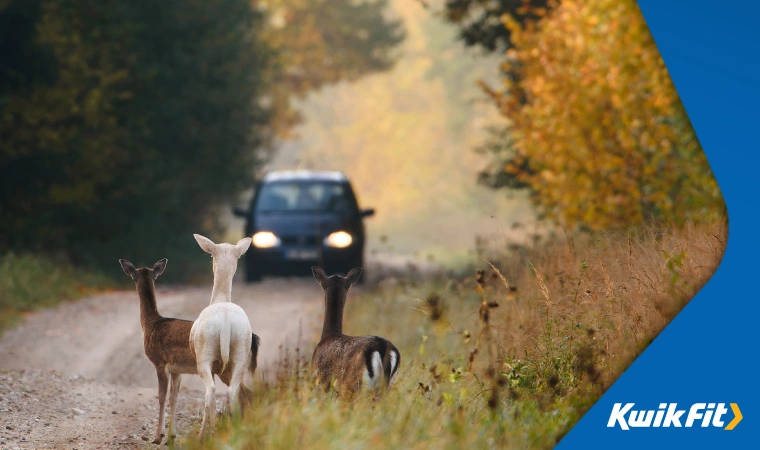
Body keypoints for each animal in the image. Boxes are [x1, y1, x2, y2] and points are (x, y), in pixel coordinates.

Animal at [119, 258, 260, 444]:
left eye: (134, 276)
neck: (151, 324)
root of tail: (253, 338)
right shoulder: (177, 369)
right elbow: (174, 397)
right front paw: (171, 436)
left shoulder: (160, 362)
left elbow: (162, 396)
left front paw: (158, 436)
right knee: (247, 393)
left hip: (225, 367)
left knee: (244, 394)